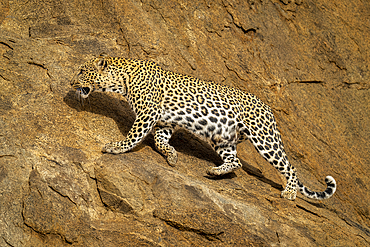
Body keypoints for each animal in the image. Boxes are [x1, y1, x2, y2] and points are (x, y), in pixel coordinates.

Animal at [71, 54, 336, 201]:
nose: (71, 83)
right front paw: (172, 156)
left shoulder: (148, 113)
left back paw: (289, 192)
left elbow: (134, 135)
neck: (122, 80)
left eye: (82, 71)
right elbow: (159, 140)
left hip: (264, 138)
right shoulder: (164, 121)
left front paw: (116, 147)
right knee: (236, 161)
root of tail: (268, 108)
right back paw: (215, 171)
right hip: (223, 138)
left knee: (289, 167)